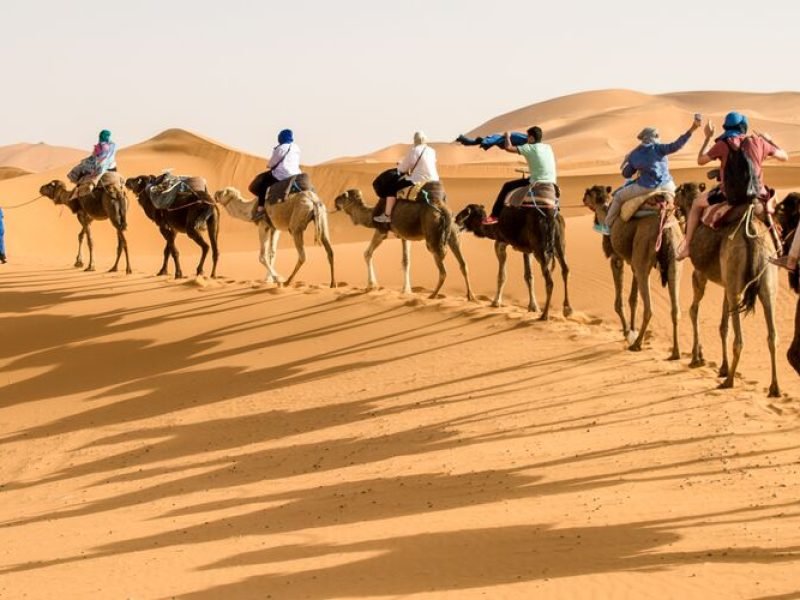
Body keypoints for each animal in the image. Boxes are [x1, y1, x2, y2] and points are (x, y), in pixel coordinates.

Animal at [333, 188, 475, 300]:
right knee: (463, 264)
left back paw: (433, 295)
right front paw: (406, 290)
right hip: (453, 236)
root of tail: (445, 211)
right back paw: (470, 296)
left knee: (443, 271)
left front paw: (371, 285)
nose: (335, 200)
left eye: (342, 196)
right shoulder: (404, 236)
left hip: (433, 238)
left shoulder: (382, 230)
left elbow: (367, 253)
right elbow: (406, 261)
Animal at [583, 185, 682, 358]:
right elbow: (633, 300)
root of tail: (665, 227)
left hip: (644, 251)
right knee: (675, 308)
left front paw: (627, 331)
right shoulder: (634, 263)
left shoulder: (616, 258)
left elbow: (620, 302)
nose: (583, 197)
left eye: (589, 192)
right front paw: (632, 330)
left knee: (649, 308)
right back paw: (676, 352)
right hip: (674, 259)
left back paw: (637, 344)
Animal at [674, 182, 780, 396]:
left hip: (734, 273)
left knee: (739, 339)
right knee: (772, 334)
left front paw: (697, 358)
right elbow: (724, 326)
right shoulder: (726, 283)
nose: (672, 199)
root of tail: (752, 230)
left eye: (678, 192)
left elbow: (693, 310)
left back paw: (729, 381)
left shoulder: (700, 274)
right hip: (765, 277)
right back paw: (774, 388)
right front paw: (722, 367)